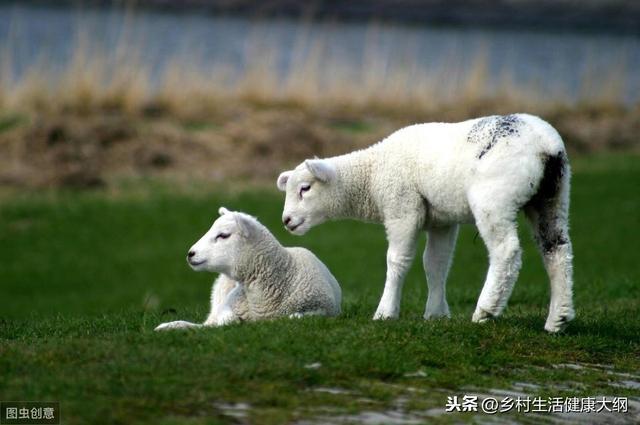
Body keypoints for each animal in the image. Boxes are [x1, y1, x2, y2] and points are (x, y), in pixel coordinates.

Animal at [156, 207, 342, 330]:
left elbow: (297, 317)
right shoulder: (228, 305)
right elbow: (226, 319)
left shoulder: (324, 310)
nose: (190, 254)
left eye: (223, 235)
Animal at [276, 114, 576, 332]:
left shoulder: (402, 208)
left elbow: (397, 261)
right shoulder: (442, 221)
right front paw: (436, 313)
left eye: (305, 188)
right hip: (553, 197)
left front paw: (385, 312)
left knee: (507, 251)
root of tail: (547, 146)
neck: (372, 177)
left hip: (494, 198)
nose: (286, 220)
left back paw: (486, 309)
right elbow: (436, 264)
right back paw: (557, 319)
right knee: (557, 250)